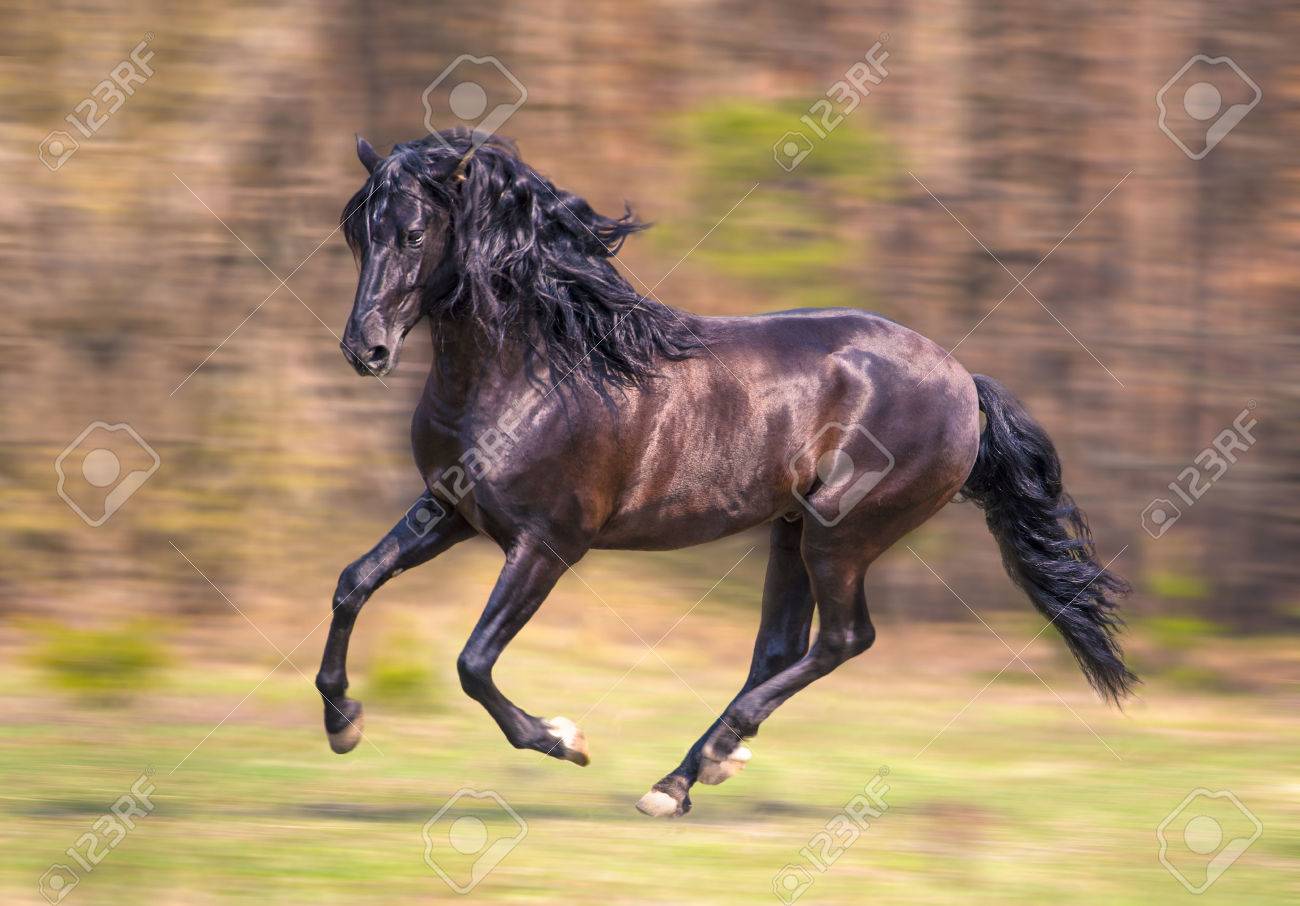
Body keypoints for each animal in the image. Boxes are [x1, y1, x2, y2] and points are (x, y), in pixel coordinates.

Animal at [314, 128, 1135, 818]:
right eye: (357, 233)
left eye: (413, 233)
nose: (365, 349)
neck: (530, 373)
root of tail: (964, 381)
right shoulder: (451, 511)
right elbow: (355, 581)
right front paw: (342, 723)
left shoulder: (547, 544)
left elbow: (473, 662)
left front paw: (563, 739)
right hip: (792, 529)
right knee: (781, 646)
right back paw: (684, 777)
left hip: (841, 535)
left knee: (843, 639)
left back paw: (698, 766)